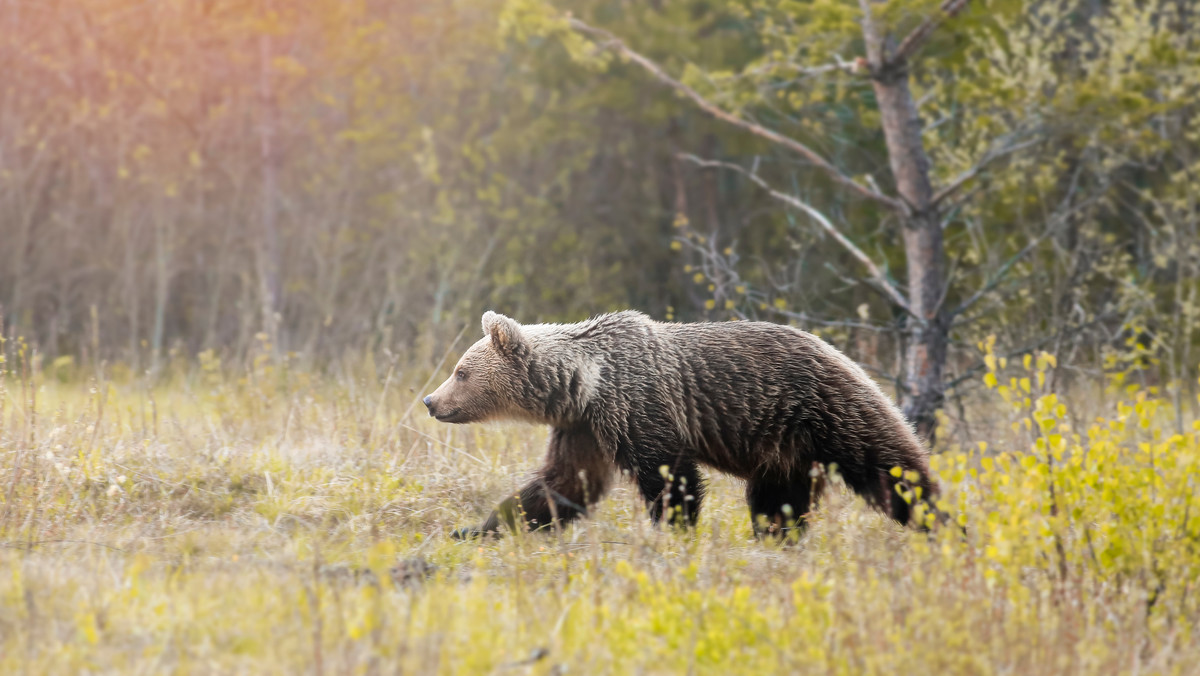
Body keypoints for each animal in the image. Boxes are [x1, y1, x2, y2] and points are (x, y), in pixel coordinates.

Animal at [427, 309, 940, 540]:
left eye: (461, 371)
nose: (431, 401)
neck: (585, 383)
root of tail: (841, 353)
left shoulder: (640, 407)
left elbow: (670, 479)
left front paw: (673, 534)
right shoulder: (585, 428)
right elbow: (563, 485)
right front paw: (477, 528)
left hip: (828, 411)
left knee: (893, 471)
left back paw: (942, 525)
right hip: (785, 448)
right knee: (777, 501)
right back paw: (777, 538)